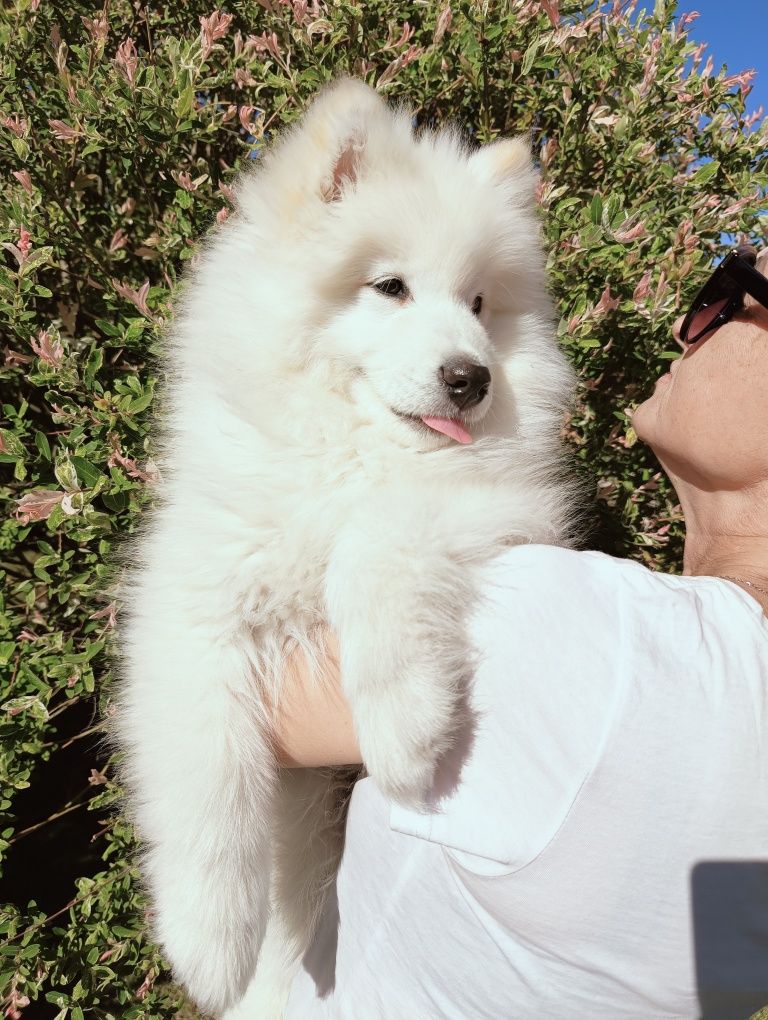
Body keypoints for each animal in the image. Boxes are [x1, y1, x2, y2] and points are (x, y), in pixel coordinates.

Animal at [115, 75, 575, 1015]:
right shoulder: (192, 603)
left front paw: (405, 724)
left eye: (479, 304)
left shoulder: (505, 505)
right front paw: (207, 943)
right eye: (389, 287)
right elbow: (206, 778)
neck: (345, 455)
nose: (472, 378)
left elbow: (380, 543)